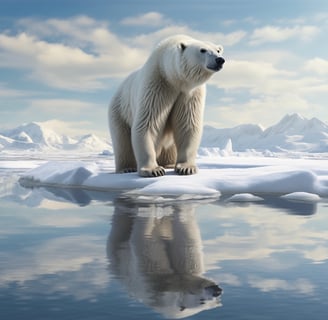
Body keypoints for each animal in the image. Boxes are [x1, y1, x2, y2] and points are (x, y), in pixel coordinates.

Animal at [109, 35, 224, 178]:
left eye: (218, 50)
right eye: (202, 50)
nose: (220, 60)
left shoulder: (190, 93)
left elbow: (188, 125)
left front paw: (186, 168)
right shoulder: (157, 84)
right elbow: (148, 123)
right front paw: (153, 170)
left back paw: (168, 163)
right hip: (120, 110)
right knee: (122, 141)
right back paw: (126, 168)